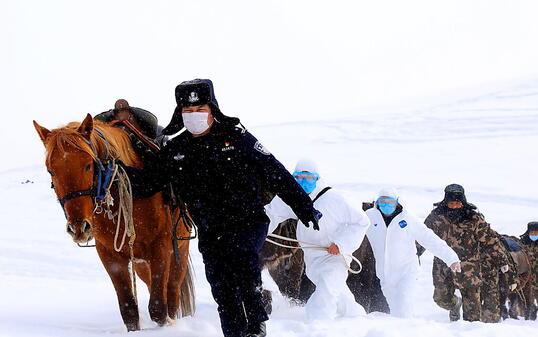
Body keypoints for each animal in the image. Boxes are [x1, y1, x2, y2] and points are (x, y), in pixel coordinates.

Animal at [33, 114, 195, 330]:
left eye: (88, 165)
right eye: (51, 171)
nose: (79, 227)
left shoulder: (160, 248)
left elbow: (158, 308)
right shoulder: (110, 255)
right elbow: (129, 310)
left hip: (179, 251)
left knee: (172, 292)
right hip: (141, 263)